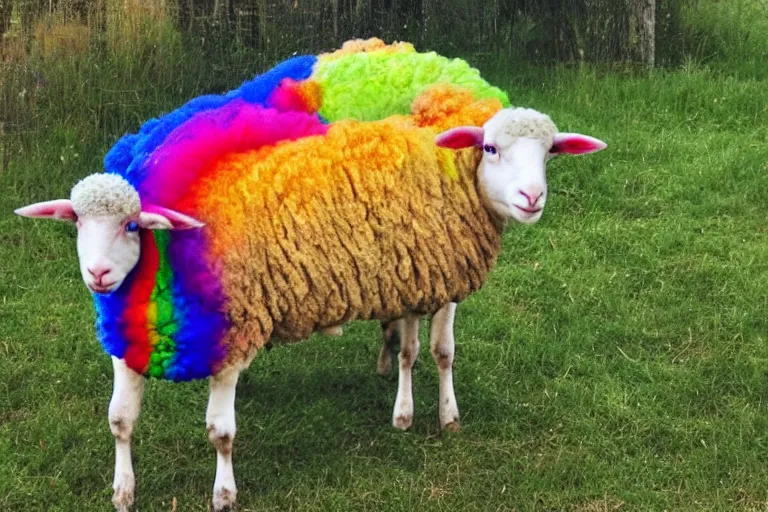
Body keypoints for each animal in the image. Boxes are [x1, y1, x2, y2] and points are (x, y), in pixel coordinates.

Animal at [12, 40, 608, 512]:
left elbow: (221, 432)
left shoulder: (236, 337)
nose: (532, 198)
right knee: (403, 333)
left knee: (426, 346)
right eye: (77, 222)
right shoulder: (132, 339)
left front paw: (224, 494)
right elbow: (119, 420)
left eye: (132, 224)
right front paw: (123, 491)